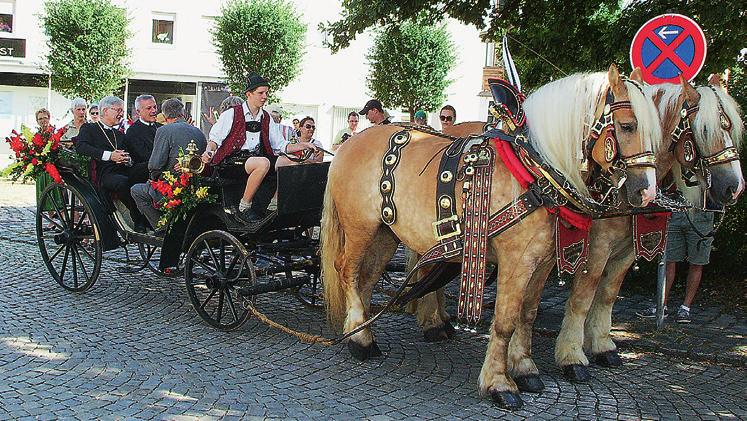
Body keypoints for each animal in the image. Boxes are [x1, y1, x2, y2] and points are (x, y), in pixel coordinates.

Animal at [322, 65, 660, 406]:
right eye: (628, 126)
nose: (646, 192)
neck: (534, 170)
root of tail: (350, 143)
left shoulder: (543, 261)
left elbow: (527, 315)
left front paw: (525, 369)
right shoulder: (517, 260)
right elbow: (505, 320)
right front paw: (499, 383)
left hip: (385, 234)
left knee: (365, 279)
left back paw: (360, 329)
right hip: (360, 228)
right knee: (348, 272)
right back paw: (361, 338)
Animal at [552, 74, 744, 378]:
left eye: (730, 127)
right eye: (704, 129)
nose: (734, 187)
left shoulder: (626, 251)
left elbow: (608, 294)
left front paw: (603, 346)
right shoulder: (595, 249)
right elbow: (582, 297)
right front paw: (571, 355)